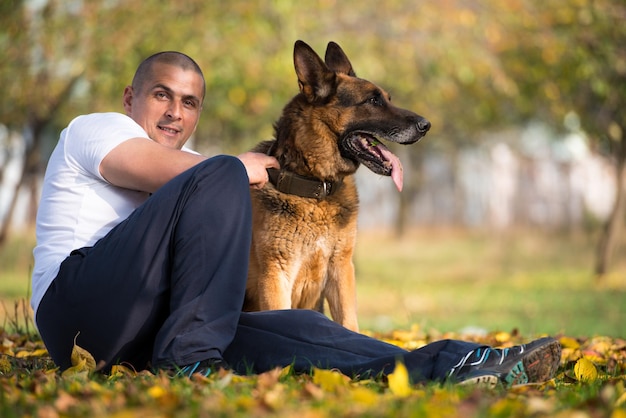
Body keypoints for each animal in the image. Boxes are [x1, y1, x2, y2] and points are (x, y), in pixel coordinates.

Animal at [244, 40, 428, 332]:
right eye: (373, 101)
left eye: (387, 98)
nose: (426, 125)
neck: (317, 188)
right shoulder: (275, 276)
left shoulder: (341, 270)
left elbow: (349, 323)